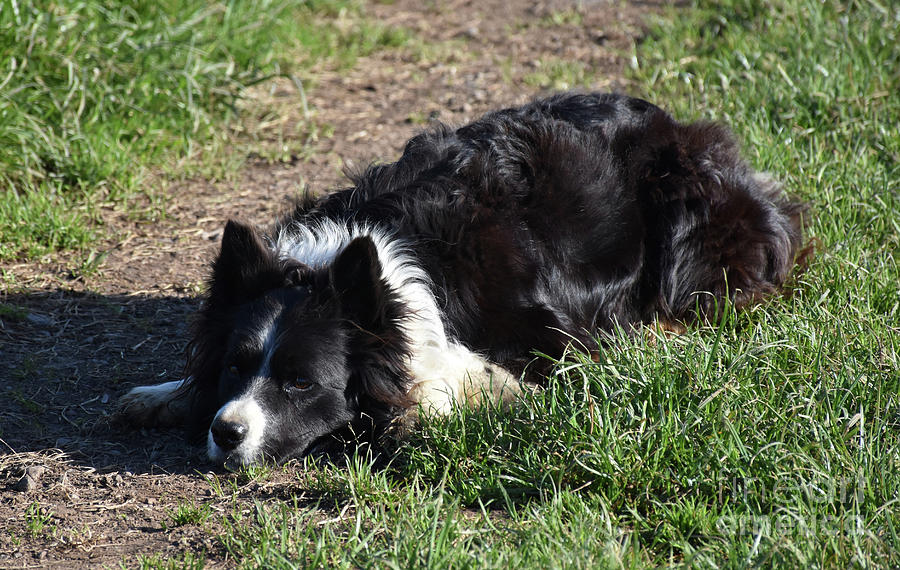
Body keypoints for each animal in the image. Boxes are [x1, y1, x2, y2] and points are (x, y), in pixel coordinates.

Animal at [118, 92, 808, 466]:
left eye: (300, 382)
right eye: (236, 365)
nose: (227, 431)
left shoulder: (560, 345)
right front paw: (163, 393)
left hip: (685, 208)